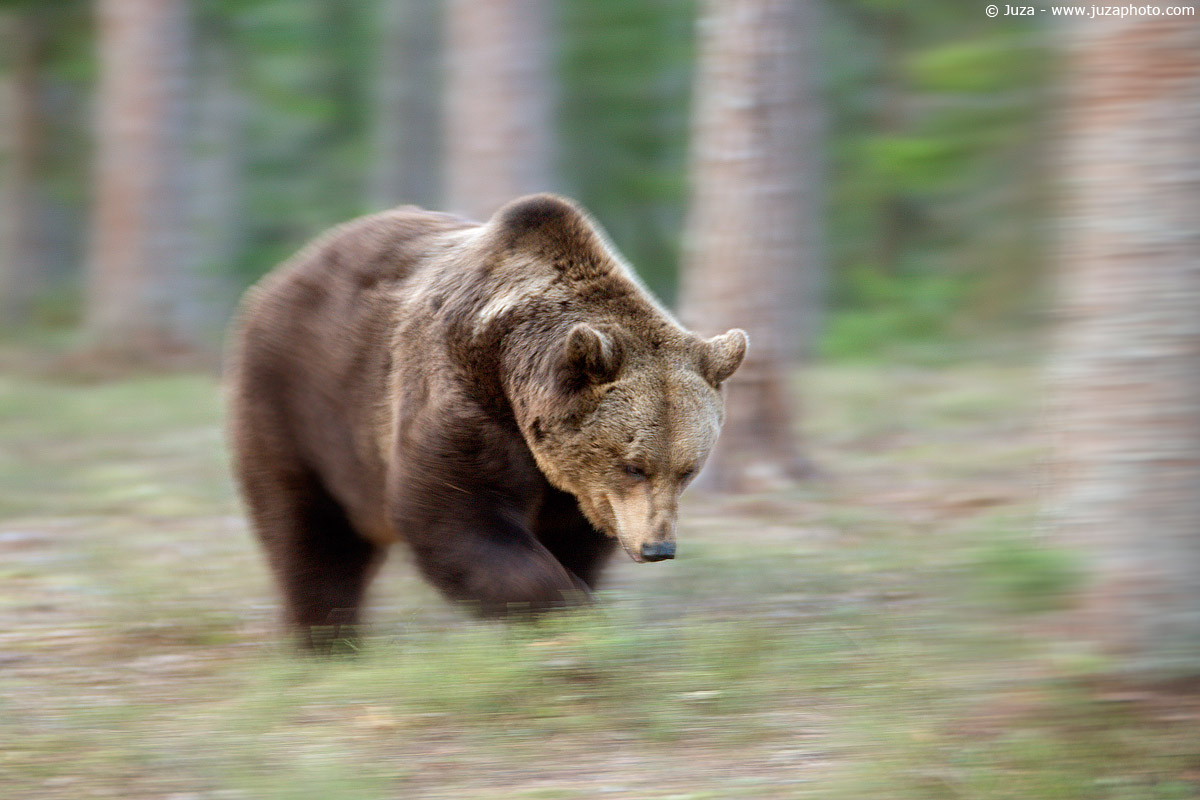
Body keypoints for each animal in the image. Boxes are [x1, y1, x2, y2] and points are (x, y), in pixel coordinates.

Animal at [226, 194, 747, 645]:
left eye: (688, 470)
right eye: (634, 465)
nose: (658, 548)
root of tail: (279, 276)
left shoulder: (574, 487)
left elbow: (574, 538)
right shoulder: (462, 399)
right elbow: (456, 517)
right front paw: (569, 613)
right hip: (302, 402)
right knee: (311, 531)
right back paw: (327, 639)